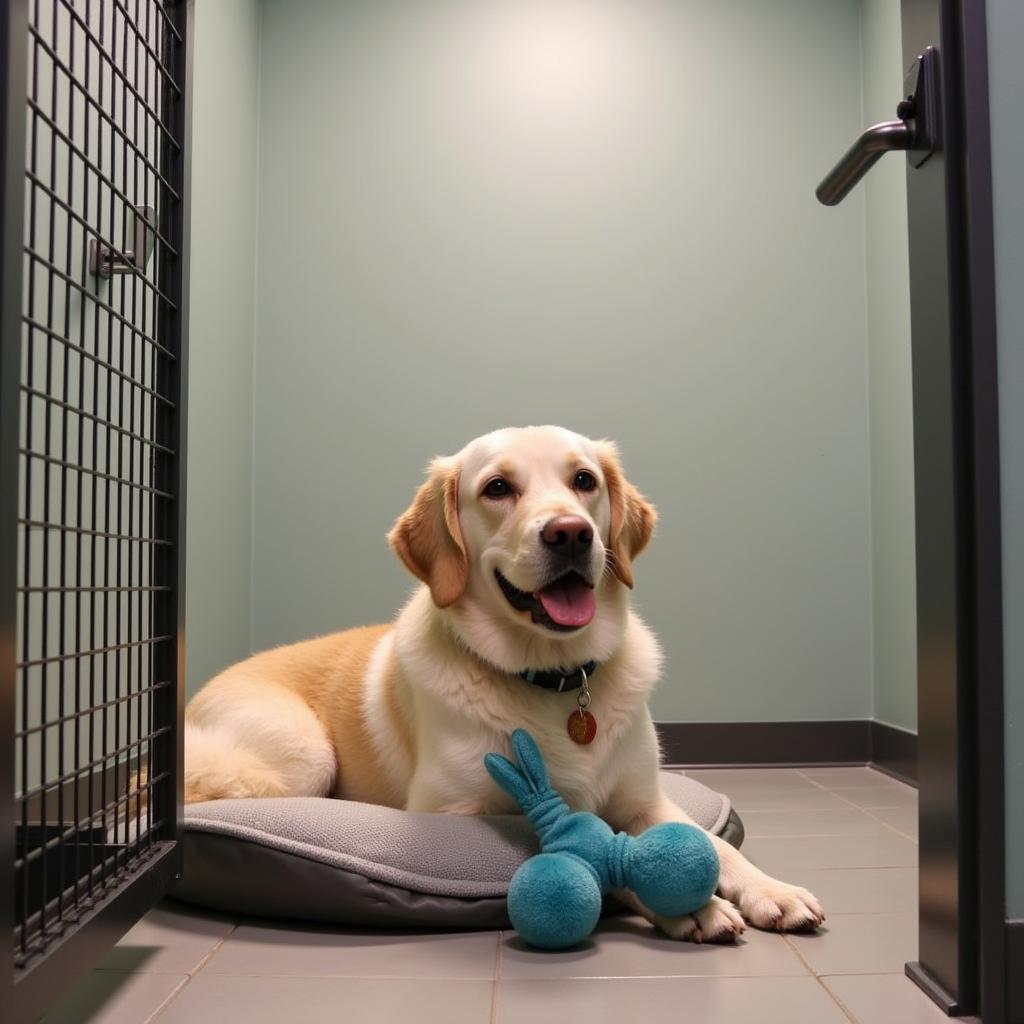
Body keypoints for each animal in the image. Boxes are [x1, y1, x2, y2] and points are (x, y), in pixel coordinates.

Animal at [184, 425, 823, 942]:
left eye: (584, 480)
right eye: (496, 488)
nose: (571, 533)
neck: (555, 680)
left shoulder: (646, 797)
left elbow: (715, 845)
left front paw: (773, 890)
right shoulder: (453, 811)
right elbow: (591, 840)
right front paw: (689, 906)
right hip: (304, 757)